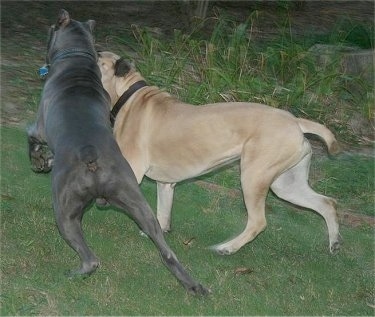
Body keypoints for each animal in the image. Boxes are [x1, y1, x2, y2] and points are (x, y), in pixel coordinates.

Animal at [26, 8, 209, 294]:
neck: (76, 57)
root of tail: (91, 156)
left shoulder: (39, 129)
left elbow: (31, 142)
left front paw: (40, 162)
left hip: (64, 210)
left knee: (90, 258)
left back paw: (74, 274)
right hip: (138, 203)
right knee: (167, 251)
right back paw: (194, 286)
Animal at [98, 51, 342, 254]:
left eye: (97, 56)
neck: (129, 96)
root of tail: (295, 121)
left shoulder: (132, 169)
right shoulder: (166, 184)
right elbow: (162, 212)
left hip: (253, 177)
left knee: (258, 222)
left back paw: (228, 247)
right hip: (287, 185)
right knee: (327, 203)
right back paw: (334, 242)